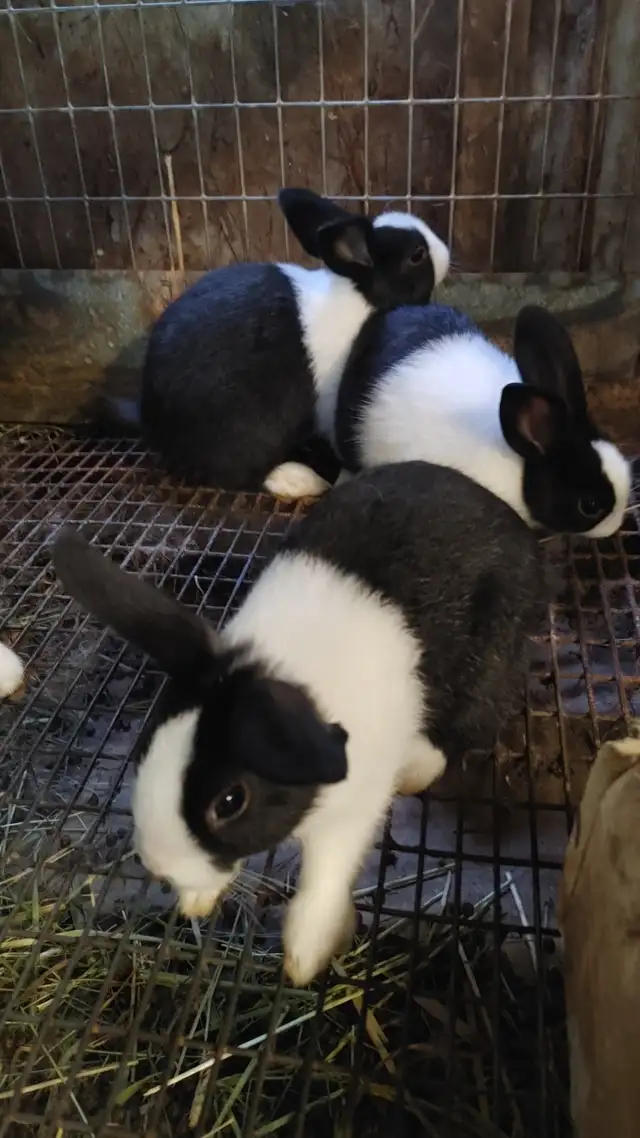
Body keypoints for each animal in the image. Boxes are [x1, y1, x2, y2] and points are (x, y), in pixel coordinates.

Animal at [52, 460, 546, 986]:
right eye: (147, 746)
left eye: (230, 801)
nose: (159, 867)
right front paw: (197, 902)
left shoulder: (352, 813)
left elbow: (324, 876)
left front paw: (305, 959)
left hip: (488, 659)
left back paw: (416, 770)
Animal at [139, 188, 449, 500]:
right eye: (417, 255)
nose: (446, 251)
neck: (362, 296)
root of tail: (155, 426)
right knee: (240, 473)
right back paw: (302, 480)